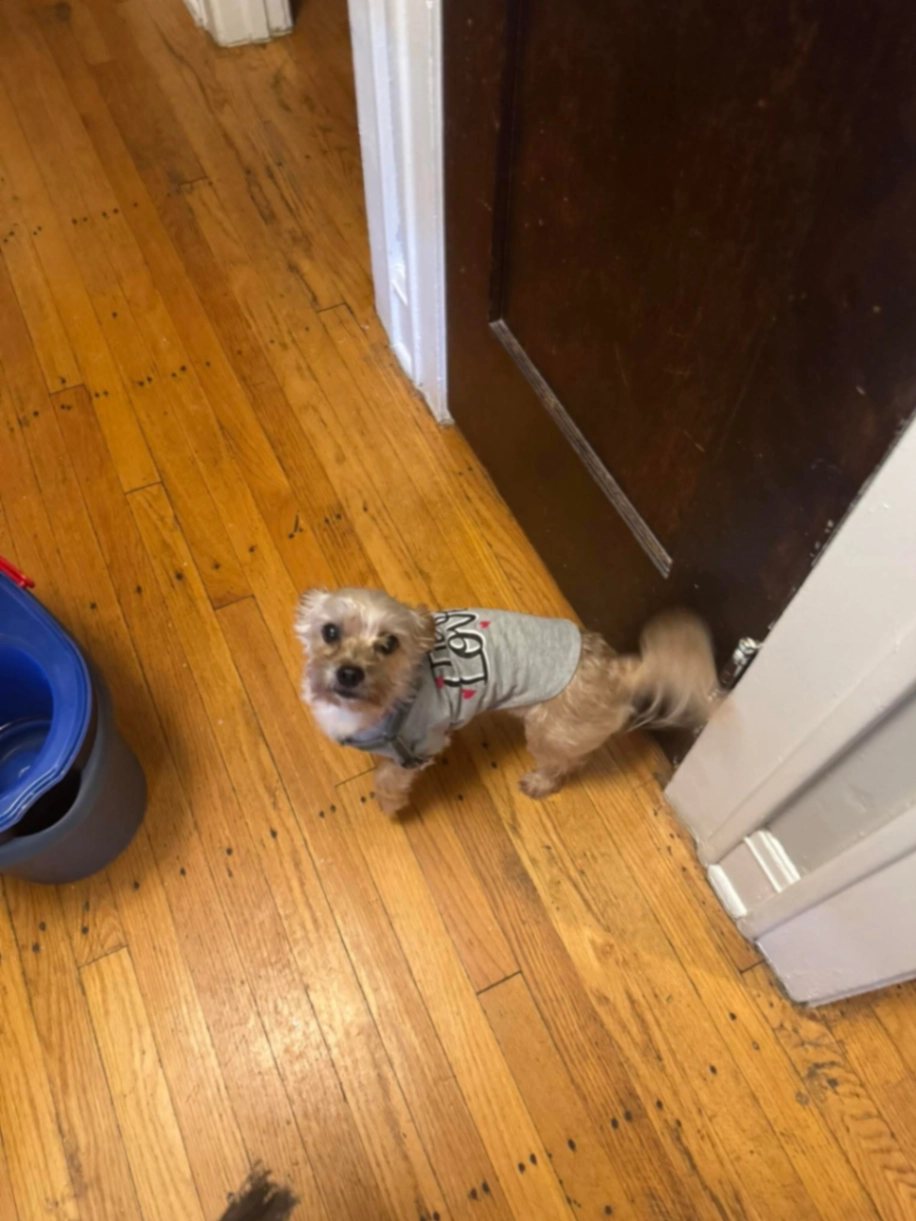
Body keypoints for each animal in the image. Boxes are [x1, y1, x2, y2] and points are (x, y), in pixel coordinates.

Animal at [295, 587, 718, 816]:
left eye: (389, 644)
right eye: (330, 632)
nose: (350, 673)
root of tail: (618, 668)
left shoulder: (420, 746)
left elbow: (388, 778)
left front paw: (389, 803)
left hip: (550, 733)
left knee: (569, 761)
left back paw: (541, 782)